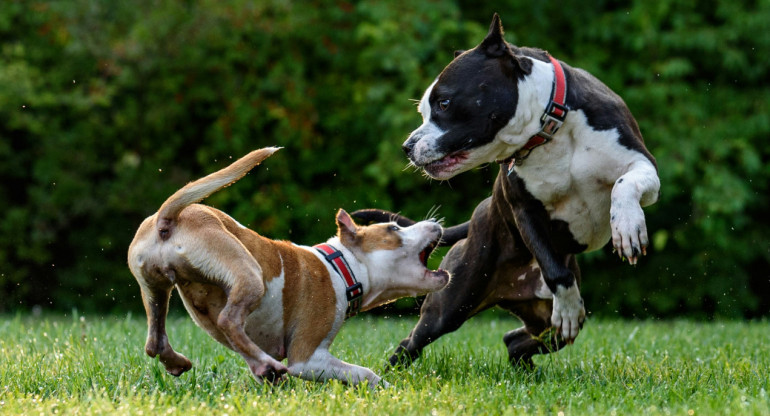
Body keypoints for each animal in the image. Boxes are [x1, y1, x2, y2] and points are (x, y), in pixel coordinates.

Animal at [127, 148, 448, 388]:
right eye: (394, 228)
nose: (435, 223)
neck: (341, 266)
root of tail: (167, 219)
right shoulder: (307, 358)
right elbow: (364, 373)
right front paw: (387, 390)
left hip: (155, 288)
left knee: (155, 341)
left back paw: (186, 362)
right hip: (248, 273)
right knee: (228, 320)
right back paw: (267, 364)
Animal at [352, 13, 656, 368]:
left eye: (444, 103)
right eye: (423, 111)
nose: (407, 146)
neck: (549, 129)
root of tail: (478, 215)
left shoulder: (643, 164)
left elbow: (624, 184)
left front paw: (628, 227)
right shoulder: (524, 209)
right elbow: (555, 271)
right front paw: (567, 305)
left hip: (541, 321)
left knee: (518, 339)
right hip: (451, 303)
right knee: (412, 341)